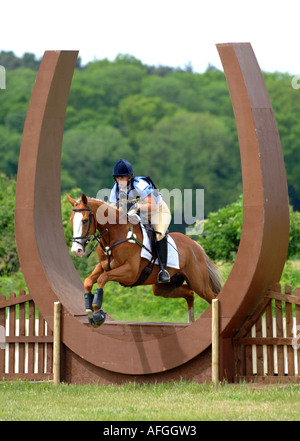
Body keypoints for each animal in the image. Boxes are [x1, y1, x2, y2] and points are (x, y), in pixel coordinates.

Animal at [67, 193, 221, 326]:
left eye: (85, 221)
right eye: (71, 220)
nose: (76, 250)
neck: (113, 237)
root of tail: (195, 245)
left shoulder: (130, 273)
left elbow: (102, 279)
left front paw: (97, 312)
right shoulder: (104, 266)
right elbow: (88, 281)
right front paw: (90, 312)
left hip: (199, 283)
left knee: (212, 296)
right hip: (163, 287)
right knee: (189, 294)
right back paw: (191, 322)